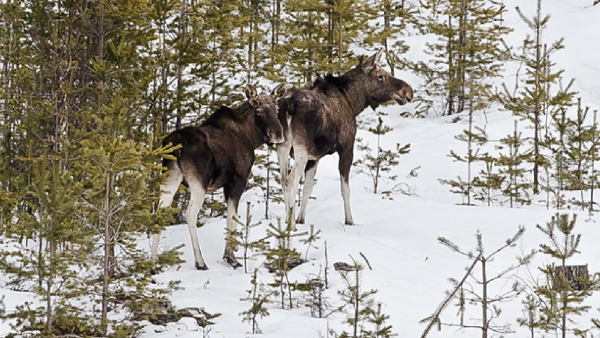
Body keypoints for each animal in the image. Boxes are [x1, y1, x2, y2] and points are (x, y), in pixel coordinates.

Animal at [154, 84, 288, 270]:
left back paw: (151, 262)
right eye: (259, 111)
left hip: (170, 178)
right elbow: (233, 217)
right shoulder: (237, 180)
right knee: (190, 214)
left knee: (159, 213)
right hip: (199, 182)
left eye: (277, 109)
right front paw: (231, 257)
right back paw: (200, 262)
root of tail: (175, 146)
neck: (250, 137)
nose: (277, 134)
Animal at [276, 50, 412, 228]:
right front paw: (350, 221)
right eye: (381, 76)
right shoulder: (347, 148)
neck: (353, 103)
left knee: (283, 179)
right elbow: (345, 189)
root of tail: (289, 105)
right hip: (301, 148)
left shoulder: (314, 157)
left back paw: (287, 220)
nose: (408, 92)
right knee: (291, 180)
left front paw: (301, 219)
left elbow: (308, 188)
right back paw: (290, 226)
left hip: (282, 147)